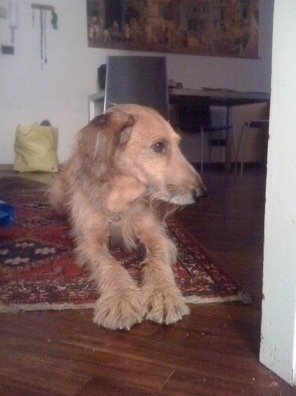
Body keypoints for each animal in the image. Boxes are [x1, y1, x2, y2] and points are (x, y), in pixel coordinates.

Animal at [49, 103, 206, 330]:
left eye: (178, 144)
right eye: (159, 146)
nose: (203, 193)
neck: (121, 197)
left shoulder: (155, 235)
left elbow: (157, 259)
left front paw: (163, 294)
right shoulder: (91, 242)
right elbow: (111, 265)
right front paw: (120, 298)